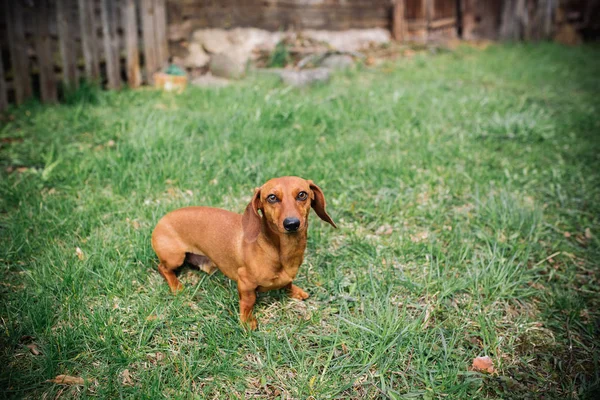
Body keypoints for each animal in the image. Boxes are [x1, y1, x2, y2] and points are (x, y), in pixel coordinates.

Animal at [151, 177, 338, 330]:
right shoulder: (245, 282)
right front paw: (247, 321)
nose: (291, 224)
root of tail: (161, 220)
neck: (279, 250)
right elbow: (249, 301)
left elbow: (288, 283)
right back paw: (176, 285)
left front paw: (295, 291)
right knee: (163, 268)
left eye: (302, 194)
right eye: (272, 197)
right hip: (175, 258)